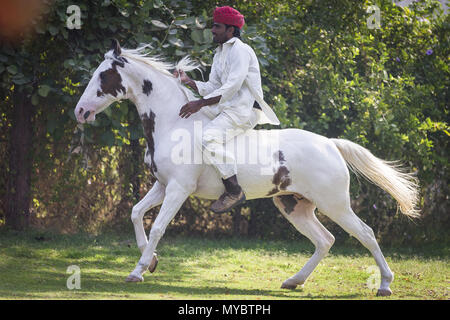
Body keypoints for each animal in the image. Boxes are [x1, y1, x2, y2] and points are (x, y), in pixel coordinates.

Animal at [72, 40, 420, 298]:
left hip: (335, 204)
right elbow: (135, 213)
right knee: (325, 240)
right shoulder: (161, 186)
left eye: (103, 77)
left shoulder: (178, 190)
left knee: (365, 234)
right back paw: (293, 281)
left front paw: (137, 271)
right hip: (293, 206)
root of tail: (330, 144)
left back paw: (385, 284)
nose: (80, 112)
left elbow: (157, 226)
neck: (173, 125)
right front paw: (152, 262)